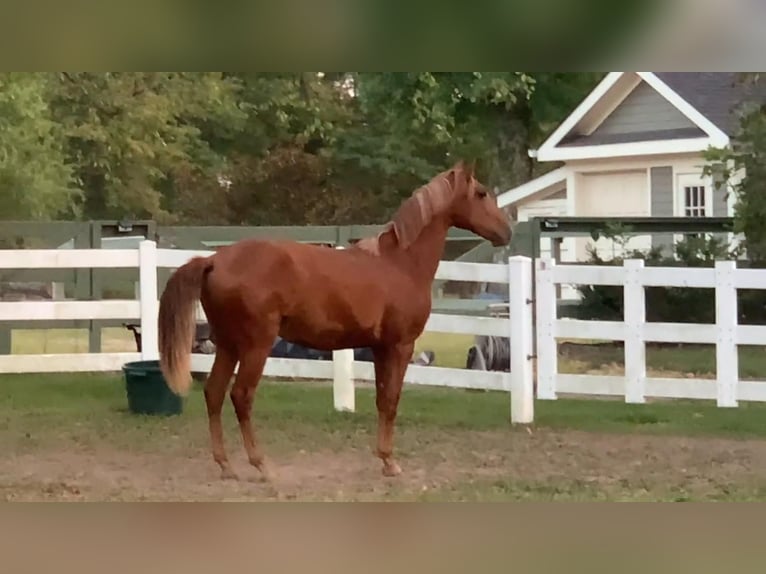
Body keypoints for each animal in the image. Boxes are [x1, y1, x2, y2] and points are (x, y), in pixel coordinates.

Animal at [157, 162, 516, 482]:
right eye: (481, 193)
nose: (506, 231)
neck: (399, 264)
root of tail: (214, 260)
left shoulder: (379, 348)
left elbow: (381, 399)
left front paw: (384, 460)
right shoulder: (400, 346)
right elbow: (391, 401)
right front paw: (391, 463)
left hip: (228, 345)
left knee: (214, 393)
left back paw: (226, 466)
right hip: (256, 346)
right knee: (241, 396)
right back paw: (262, 466)